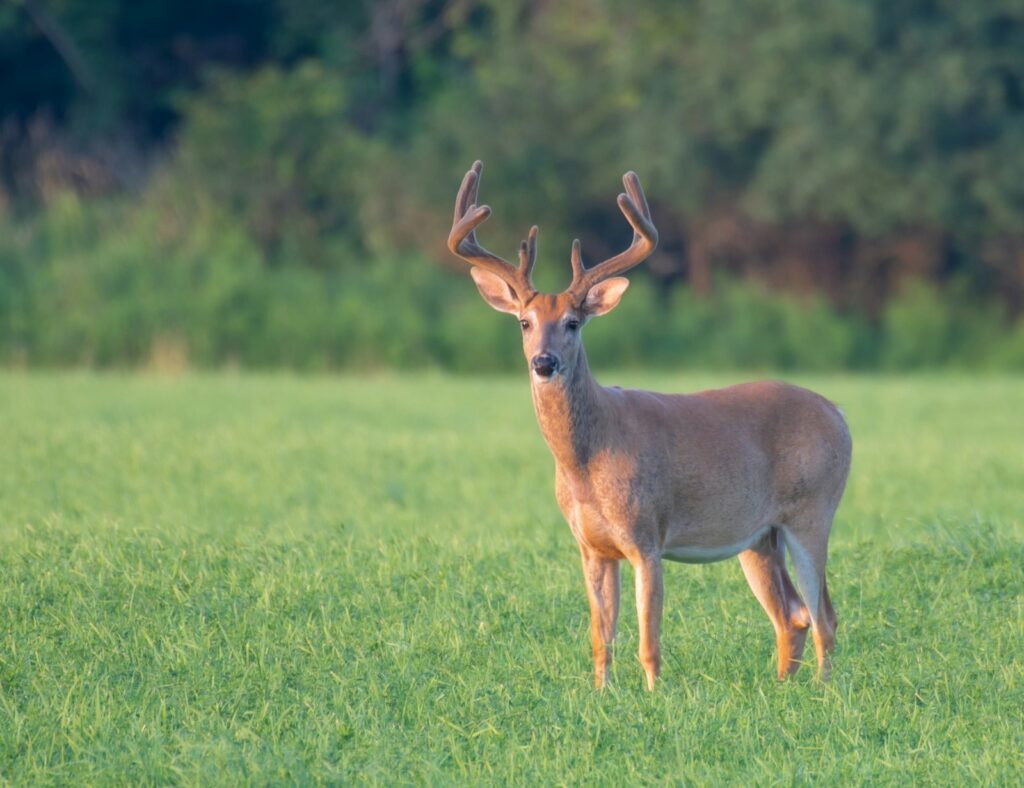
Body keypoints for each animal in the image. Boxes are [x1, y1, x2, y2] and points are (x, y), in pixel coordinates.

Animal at [447, 161, 852, 690]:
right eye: (524, 322)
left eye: (574, 322)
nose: (544, 362)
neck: (586, 462)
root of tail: (839, 414)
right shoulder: (590, 547)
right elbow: (601, 637)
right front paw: (602, 694)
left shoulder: (647, 535)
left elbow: (648, 639)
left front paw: (655, 696)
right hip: (759, 537)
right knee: (793, 616)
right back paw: (783, 685)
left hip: (813, 509)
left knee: (825, 615)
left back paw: (824, 692)